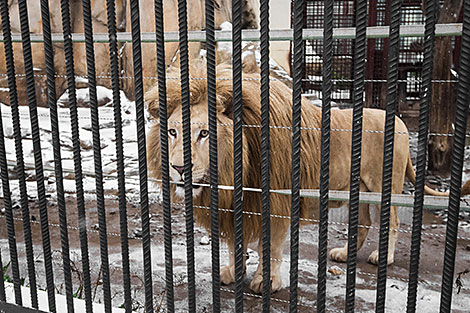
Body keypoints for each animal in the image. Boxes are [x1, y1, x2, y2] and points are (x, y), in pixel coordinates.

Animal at [145, 61, 470, 292]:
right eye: (172, 132)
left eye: (204, 134)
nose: (179, 169)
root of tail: (401, 123)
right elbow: (233, 242)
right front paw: (231, 272)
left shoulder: (278, 199)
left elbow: (272, 245)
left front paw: (268, 281)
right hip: (361, 189)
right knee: (363, 222)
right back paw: (344, 253)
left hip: (383, 186)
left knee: (392, 221)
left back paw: (383, 257)